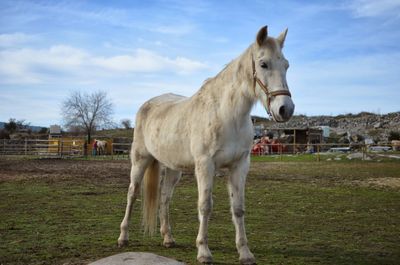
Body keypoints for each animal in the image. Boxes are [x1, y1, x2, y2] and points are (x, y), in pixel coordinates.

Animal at [117, 25, 296, 264]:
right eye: (263, 64)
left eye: (286, 65)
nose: (285, 109)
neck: (228, 115)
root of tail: (147, 105)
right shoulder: (205, 166)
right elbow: (205, 206)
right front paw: (203, 251)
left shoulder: (239, 166)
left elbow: (238, 208)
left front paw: (245, 253)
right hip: (140, 161)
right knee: (132, 193)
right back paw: (123, 237)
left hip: (173, 169)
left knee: (164, 198)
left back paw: (168, 238)